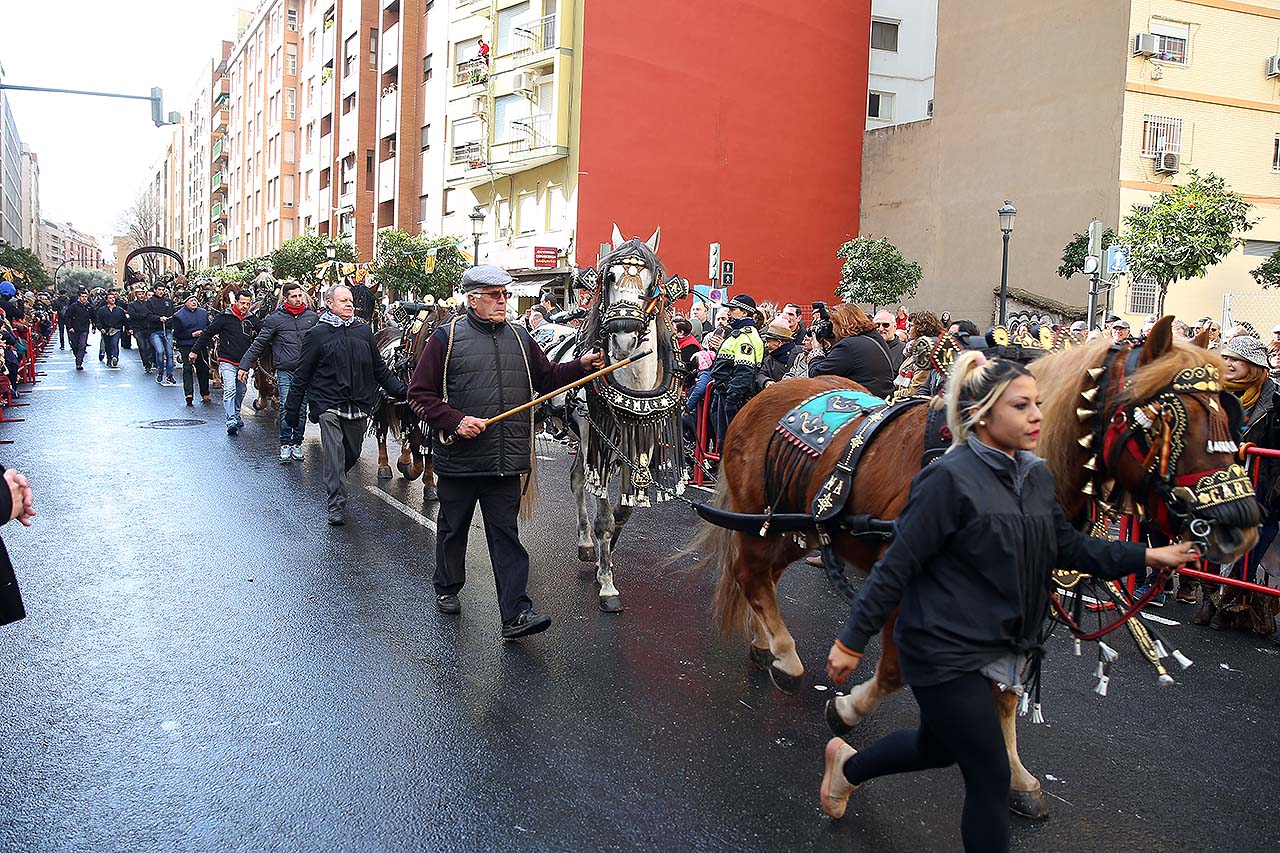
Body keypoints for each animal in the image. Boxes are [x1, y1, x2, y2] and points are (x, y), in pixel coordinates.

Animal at [696, 315, 1254, 814]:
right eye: (1170, 418)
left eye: (1227, 413)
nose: (1240, 524)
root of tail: (765, 396)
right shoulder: (908, 579)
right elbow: (895, 672)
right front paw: (847, 709)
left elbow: (1004, 693)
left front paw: (1016, 775)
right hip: (763, 513)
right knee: (751, 576)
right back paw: (785, 657)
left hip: (801, 524)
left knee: (764, 578)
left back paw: (766, 647)